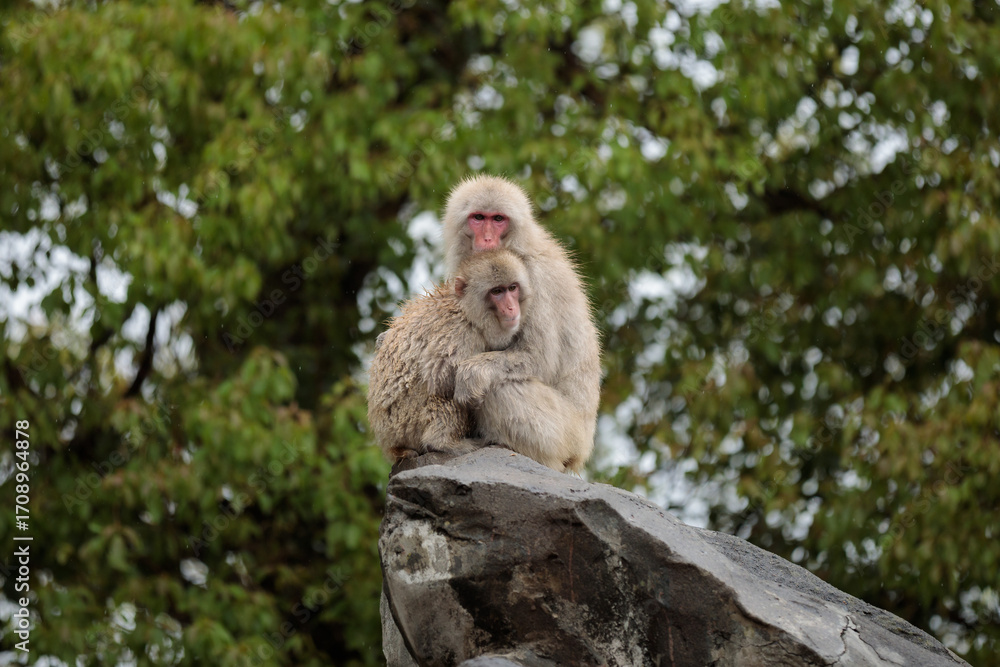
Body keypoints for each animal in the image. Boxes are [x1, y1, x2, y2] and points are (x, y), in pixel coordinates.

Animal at [367, 249, 530, 462]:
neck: (466, 311)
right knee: (447, 393)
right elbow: (440, 377)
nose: (512, 307)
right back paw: (443, 441)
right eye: (497, 292)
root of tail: (389, 443)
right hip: (406, 422)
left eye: (512, 288)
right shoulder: (460, 333)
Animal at [441, 174, 601, 473]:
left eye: (498, 219)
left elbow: (539, 357)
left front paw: (471, 373)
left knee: (500, 388)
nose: (487, 238)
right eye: (478, 217)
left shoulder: (536, 279)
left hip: (566, 431)